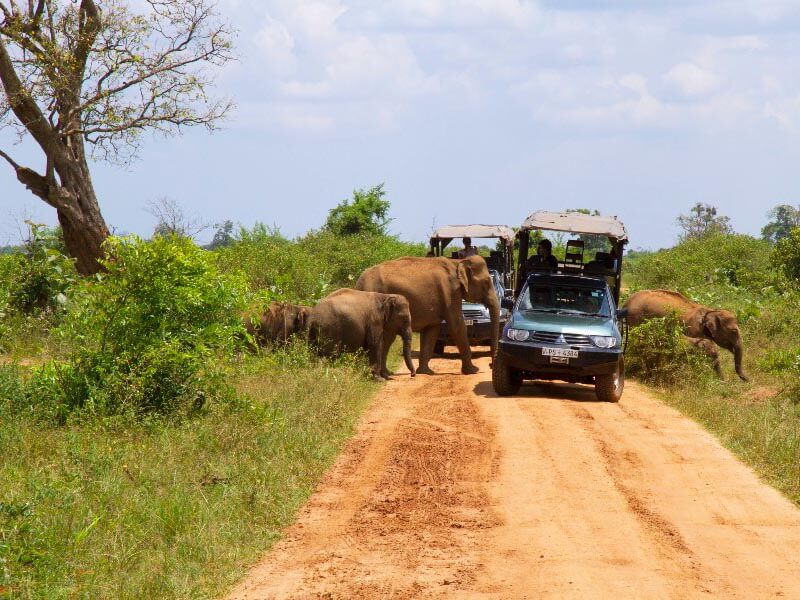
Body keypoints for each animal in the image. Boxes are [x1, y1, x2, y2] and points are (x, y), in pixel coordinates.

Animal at [354, 255, 496, 378]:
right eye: (486, 282)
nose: (490, 365)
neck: (457, 262)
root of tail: (358, 283)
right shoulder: (450, 293)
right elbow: (457, 325)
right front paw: (473, 371)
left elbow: (431, 331)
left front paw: (426, 372)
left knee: (386, 338)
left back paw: (383, 373)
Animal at [624, 290, 752, 382]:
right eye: (734, 331)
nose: (749, 380)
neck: (711, 311)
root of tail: (626, 301)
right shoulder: (693, 329)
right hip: (636, 319)